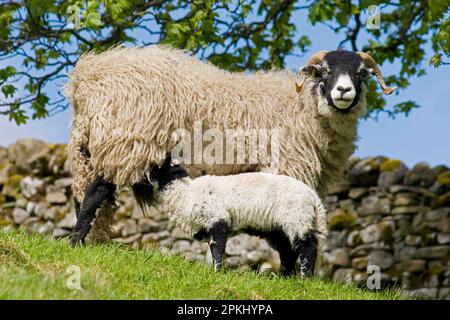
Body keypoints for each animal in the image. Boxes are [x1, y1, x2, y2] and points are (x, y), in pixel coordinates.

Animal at [65, 45, 396, 245]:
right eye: (324, 71)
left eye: (360, 73)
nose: (343, 91)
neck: (305, 106)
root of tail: (88, 76)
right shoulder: (287, 167)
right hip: (128, 139)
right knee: (97, 192)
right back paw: (77, 242)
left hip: (89, 147)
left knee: (85, 195)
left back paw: (91, 239)